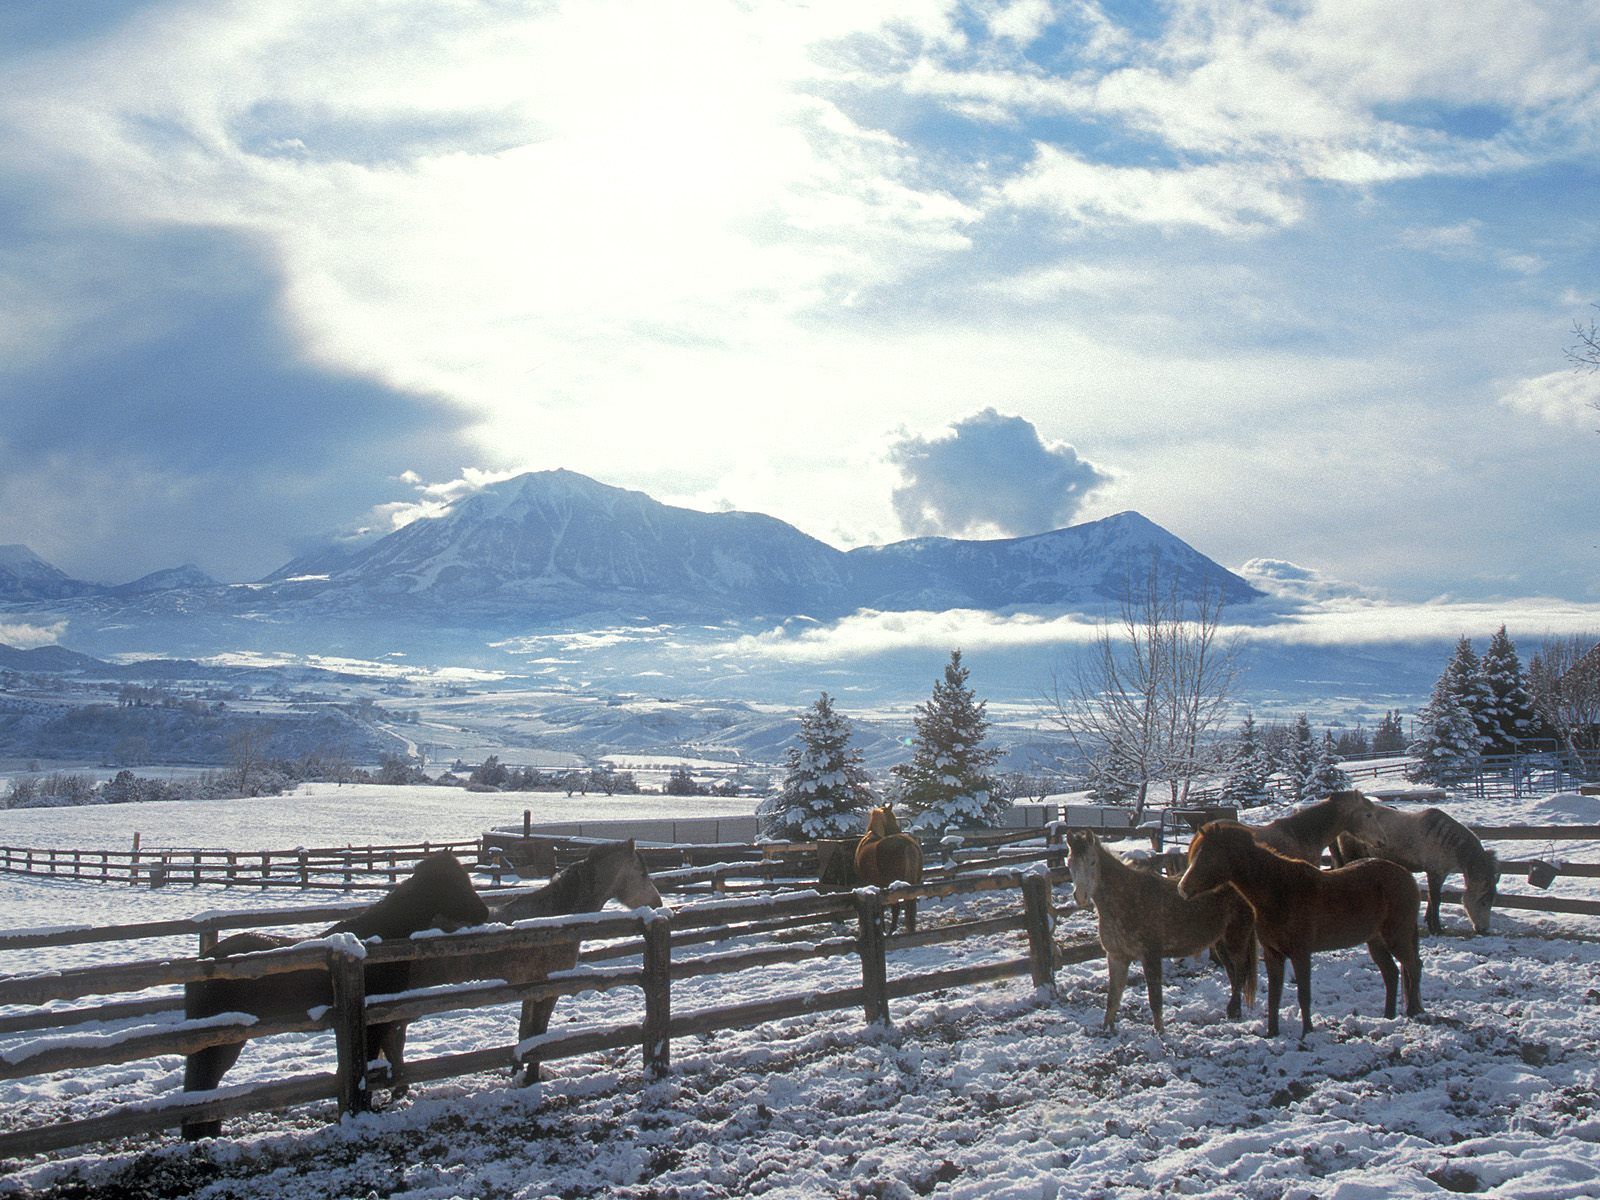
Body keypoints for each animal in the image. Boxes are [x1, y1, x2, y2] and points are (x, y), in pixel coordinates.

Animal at [182, 851, 490, 1139]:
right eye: (454, 882)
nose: (484, 912)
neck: (375, 945)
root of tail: (205, 961)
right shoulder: (373, 1023)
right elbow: (370, 1065)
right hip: (224, 1040)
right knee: (205, 1080)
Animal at [385, 839, 662, 1085]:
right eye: (642, 873)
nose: (658, 903)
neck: (556, 921)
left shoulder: (529, 988)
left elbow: (524, 1034)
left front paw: (517, 1070)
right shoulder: (548, 989)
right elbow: (538, 1034)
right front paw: (531, 1077)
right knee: (393, 1041)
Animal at [1066, 831, 1257, 1033]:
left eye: (1092, 862)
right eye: (1069, 863)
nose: (1080, 896)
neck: (1127, 899)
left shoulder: (1151, 956)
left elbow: (1155, 999)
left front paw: (1160, 1032)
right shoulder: (1117, 956)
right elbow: (1113, 998)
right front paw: (1107, 1030)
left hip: (1237, 937)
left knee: (1240, 971)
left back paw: (1233, 1010)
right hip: (1220, 941)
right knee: (1232, 972)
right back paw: (1234, 1011)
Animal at [1178, 821, 1423, 1038]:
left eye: (1208, 855)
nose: (1182, 888)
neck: (1280, 891)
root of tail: (1407, 876)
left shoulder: (1300, 953)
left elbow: (1304, 994)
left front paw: (1307, 1033)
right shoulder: (1273, 954)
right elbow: (1274, 995)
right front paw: (1272, 1033)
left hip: (1396, 937)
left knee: (1413, 967)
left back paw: (1414, 1012)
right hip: (1376, 941)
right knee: (1391, 974)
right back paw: (1389, 1016)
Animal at [1333, 800, 1499, 935]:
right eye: (1484, 901)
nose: (1484, 929)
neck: (1451, 844)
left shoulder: (1440, 873)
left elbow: (1432, 899)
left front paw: (1430, 924)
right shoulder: (1434, 872)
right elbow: (1436, 899)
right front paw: (1437, 928)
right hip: (1352, 854)